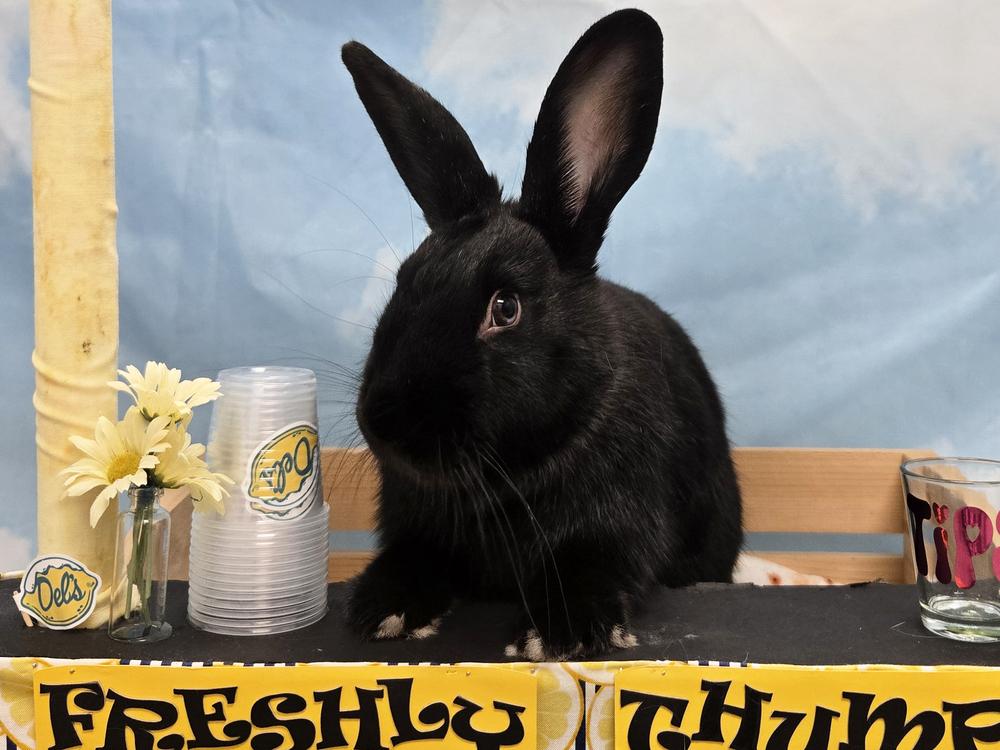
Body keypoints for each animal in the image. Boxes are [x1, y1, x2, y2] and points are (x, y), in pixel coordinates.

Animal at [340, 7, 743, 660]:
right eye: (404, 282)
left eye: (505, 308)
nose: (386, 423)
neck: (506, 474)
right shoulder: (416, 529)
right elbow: (412, 558)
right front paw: (384, 610)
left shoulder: (617, 527)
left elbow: (589, 569)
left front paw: (557, 636)